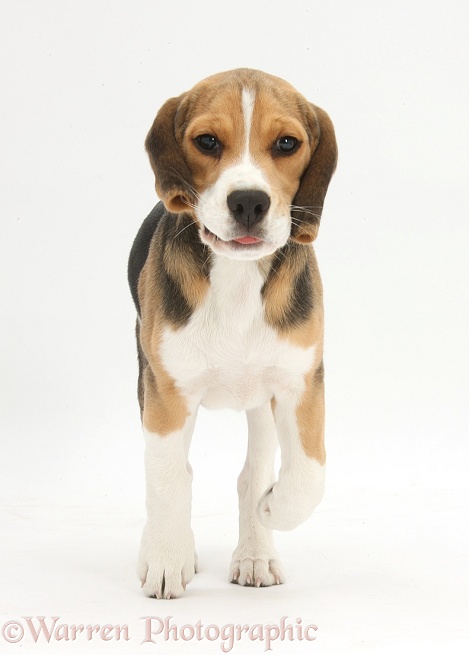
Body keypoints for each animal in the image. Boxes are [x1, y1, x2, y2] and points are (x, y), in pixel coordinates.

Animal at [128, 68, 336, 600]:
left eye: (286, 143)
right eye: (207, 141)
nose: (248, 201)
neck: (238, 276)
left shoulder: (301, 382)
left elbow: (309, 474)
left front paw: (273, 508)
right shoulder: (166, 393)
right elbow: (166, 480)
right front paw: (166, 559)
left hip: (260, 400)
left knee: (252, 472)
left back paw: (256, 552)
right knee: (171, 471)